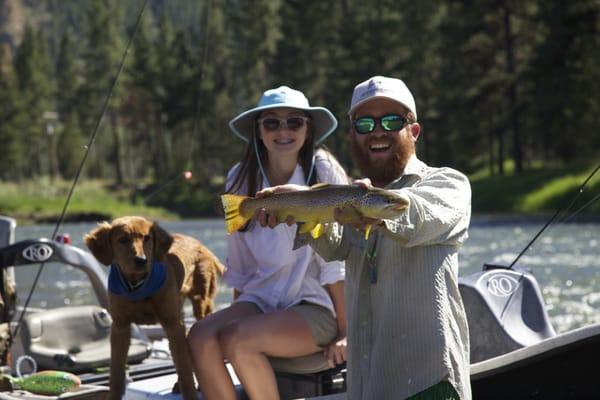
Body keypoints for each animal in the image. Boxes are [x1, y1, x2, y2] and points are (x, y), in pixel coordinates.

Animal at [84, 216, 225, 400]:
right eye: (123, 239)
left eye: (147, 238)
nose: (141, 260)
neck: (137, 286)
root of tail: (201, 245)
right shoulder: (120, 326)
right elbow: (116, 371)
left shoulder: (173, 324)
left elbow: (184, 368)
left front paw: (189, 393)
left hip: (202, 304)